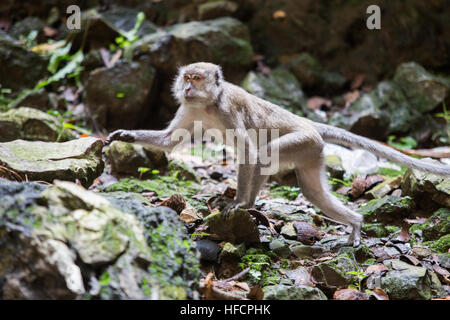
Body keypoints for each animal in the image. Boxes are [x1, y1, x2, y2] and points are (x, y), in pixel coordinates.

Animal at [107, 63, 450, 248]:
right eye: (186, 79)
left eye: (197, 79)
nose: (188, 89)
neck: (207, 103)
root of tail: (309, 124)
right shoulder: (189, 109)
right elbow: (168, 142)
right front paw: (125, 136)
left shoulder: (226, 109)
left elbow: (249, 150)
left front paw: (238, 203)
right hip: (313, 151)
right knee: (313, 191)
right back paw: (354, 223)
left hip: (303, 141)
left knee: (264, 153)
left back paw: (250, 203)